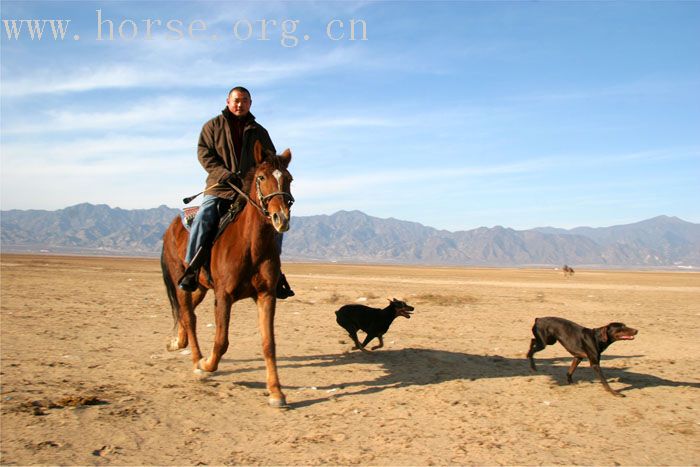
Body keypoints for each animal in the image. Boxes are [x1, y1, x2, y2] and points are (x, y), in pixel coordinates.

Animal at [162, 141, 296, 408]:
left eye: (289, 179)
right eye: (261, 177)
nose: (281, 218)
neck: (250, 244)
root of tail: (171, 228)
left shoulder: (266, 295)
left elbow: (269, 343)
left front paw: (276, 392)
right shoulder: (224, 295)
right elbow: (221, 340)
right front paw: (206, 365)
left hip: (201, 286)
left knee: (187, 312)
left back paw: (178, 342)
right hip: (181, 279)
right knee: (189, 316)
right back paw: (196, 359)